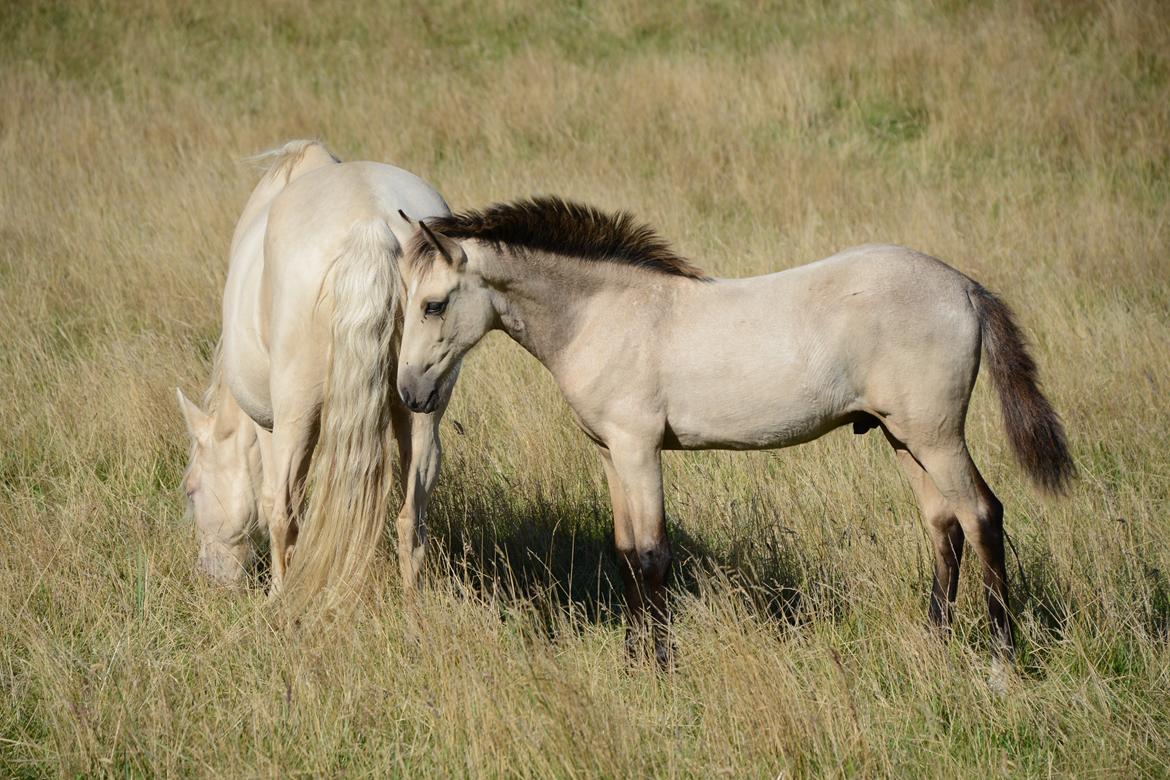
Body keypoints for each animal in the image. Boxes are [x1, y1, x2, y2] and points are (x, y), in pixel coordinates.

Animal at [176, 142, 451, 603]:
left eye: (193, 489)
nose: (209, 578)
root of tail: (371, 221)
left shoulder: (266, 423)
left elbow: (272, 504)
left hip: (295, 414)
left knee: (283, 508)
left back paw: (280, 599)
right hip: (422, 410)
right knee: (412, 511)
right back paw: (413, 603)